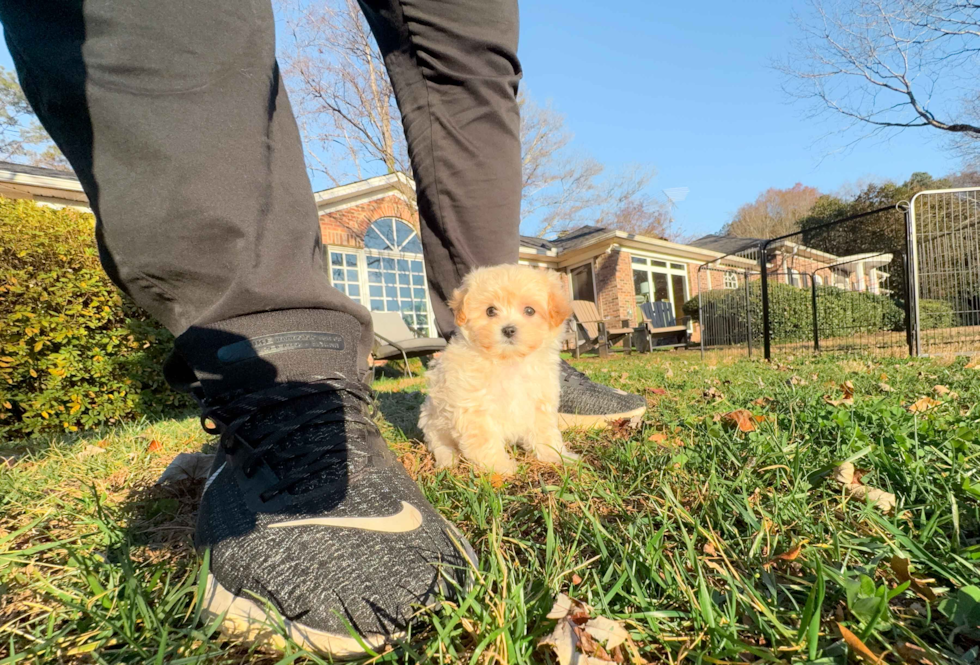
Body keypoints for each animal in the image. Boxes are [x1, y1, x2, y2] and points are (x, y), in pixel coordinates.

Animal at [420, 262, 576, 474]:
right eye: (490, 311)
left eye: (529, 310)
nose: (508, 329)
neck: (508, 361)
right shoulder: (474, 407)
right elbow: (485, 439)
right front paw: (500, 466)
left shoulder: (539, 402)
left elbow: (545, 432)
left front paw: (558, 456)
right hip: (432, 420)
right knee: (439, 443)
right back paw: (447, 459)